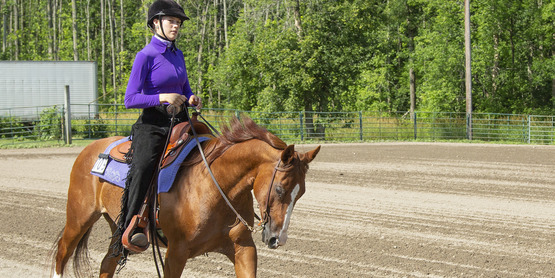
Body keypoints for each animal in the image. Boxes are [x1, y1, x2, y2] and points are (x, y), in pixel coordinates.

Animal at [52, 114, 322, 276]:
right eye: (280, 188)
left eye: (301, 193)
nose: (278, 239)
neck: (215, 186)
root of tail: (90, 148)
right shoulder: (175, 254)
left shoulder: (243, 248)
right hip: (79, 218)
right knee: (62, 253)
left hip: (117, 227)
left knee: (107, 263)